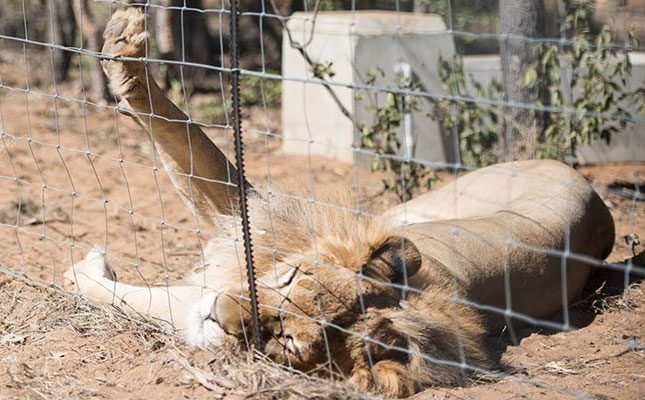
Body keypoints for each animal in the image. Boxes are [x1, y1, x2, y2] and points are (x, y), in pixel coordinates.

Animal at [63, 7, 616, 398]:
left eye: (285, 342)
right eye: (290, 279)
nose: (221, 313)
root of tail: (589, 189)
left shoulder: (208, 284)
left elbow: (125, 294)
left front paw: (83, 272)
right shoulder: (251, 223)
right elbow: (186, 138)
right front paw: (124, 45)